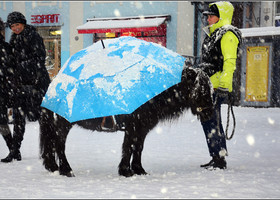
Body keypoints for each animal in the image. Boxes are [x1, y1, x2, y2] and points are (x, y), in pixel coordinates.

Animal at [39, 67, 213, 177]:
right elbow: (128, 147)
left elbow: (138, 148)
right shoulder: (133, 127)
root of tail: (52, 85)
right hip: (62, 126)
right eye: (202, 89)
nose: (209, 112)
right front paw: (126, 171)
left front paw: (138, 170)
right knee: (59, 145)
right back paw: (66, 170)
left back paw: (54, 167)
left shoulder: (142, 129)